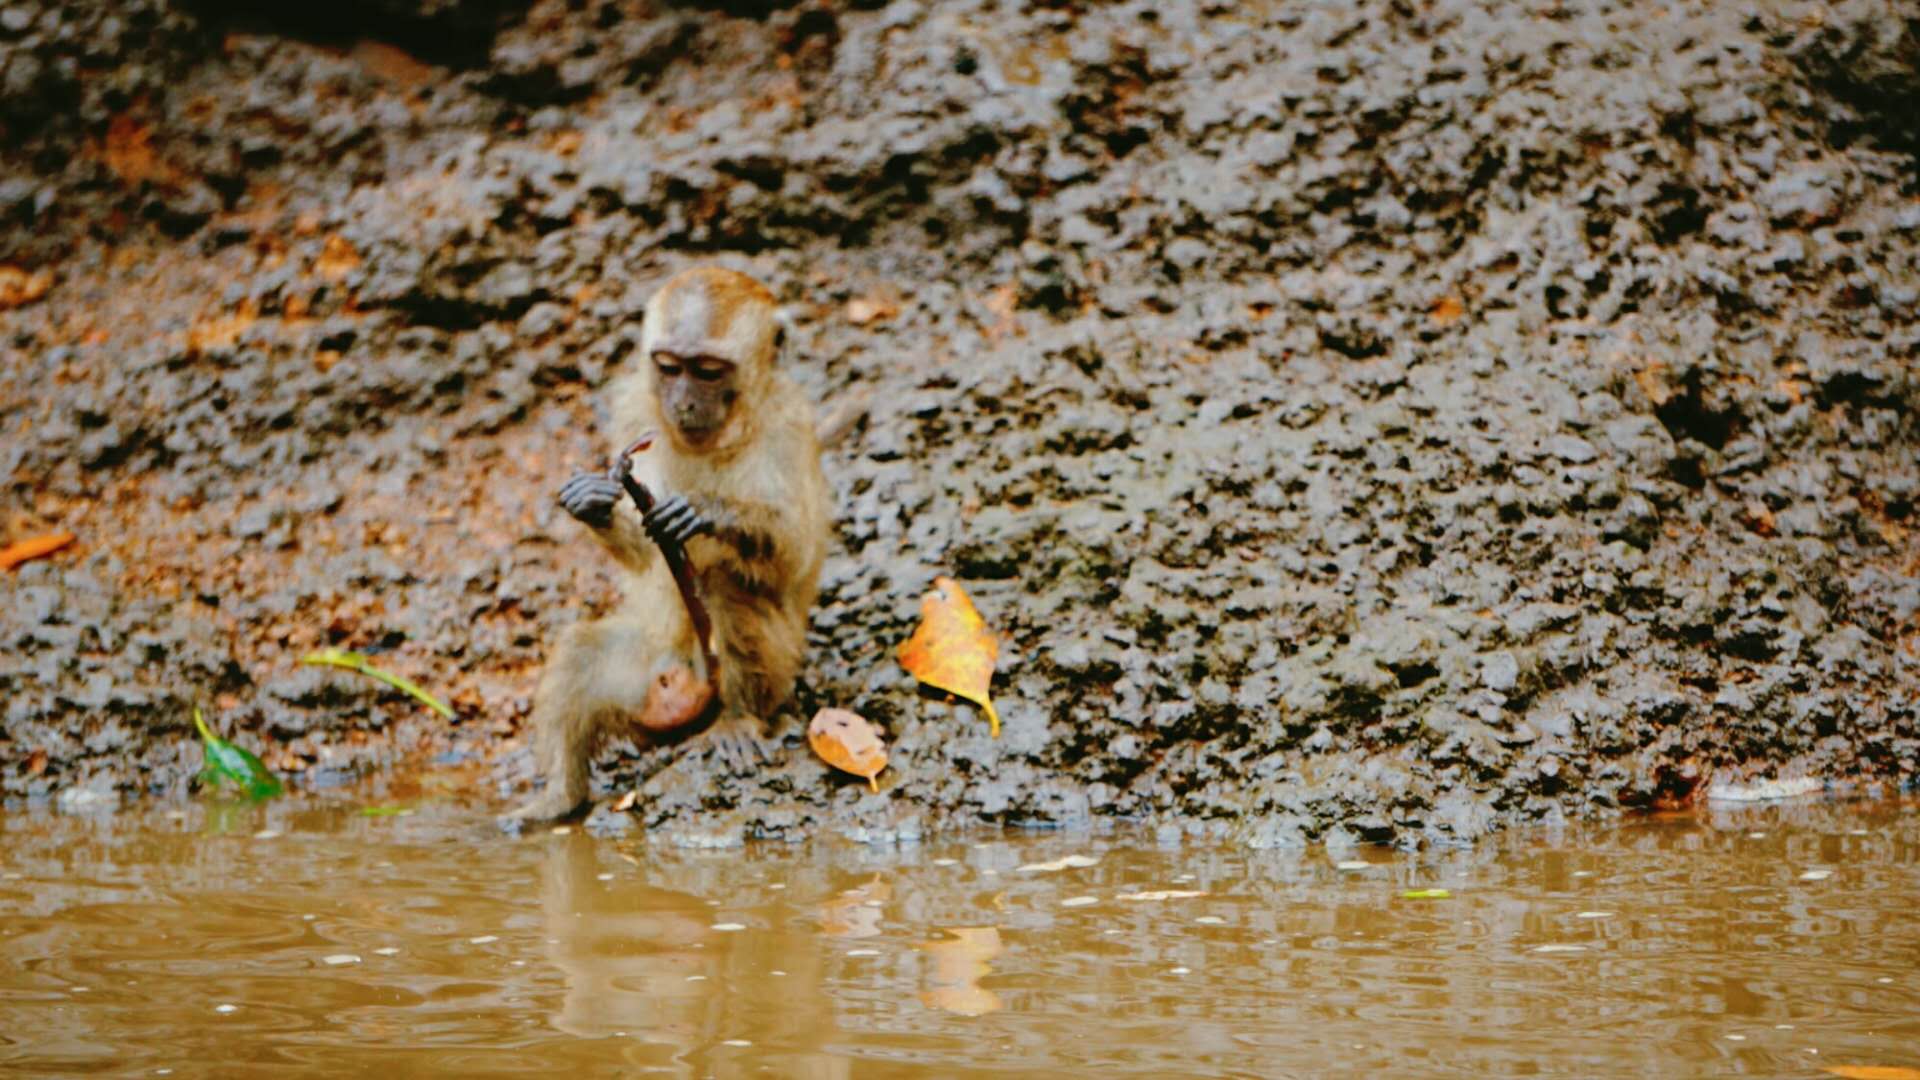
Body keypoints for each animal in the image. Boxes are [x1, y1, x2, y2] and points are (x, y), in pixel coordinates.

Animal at [510, 265, 833, 818]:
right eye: (667, 367)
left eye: (707, 371)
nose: (682, 403)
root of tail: (686, 683)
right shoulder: (634, 406)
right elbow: (643, 553)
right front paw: (591, 500)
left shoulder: (789, 421)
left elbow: (794, 554)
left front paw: (706, 510)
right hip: (646, 667)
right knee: (582, 652)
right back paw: (559, 798)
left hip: (763, 671)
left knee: (728, 585)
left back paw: (739, 718)